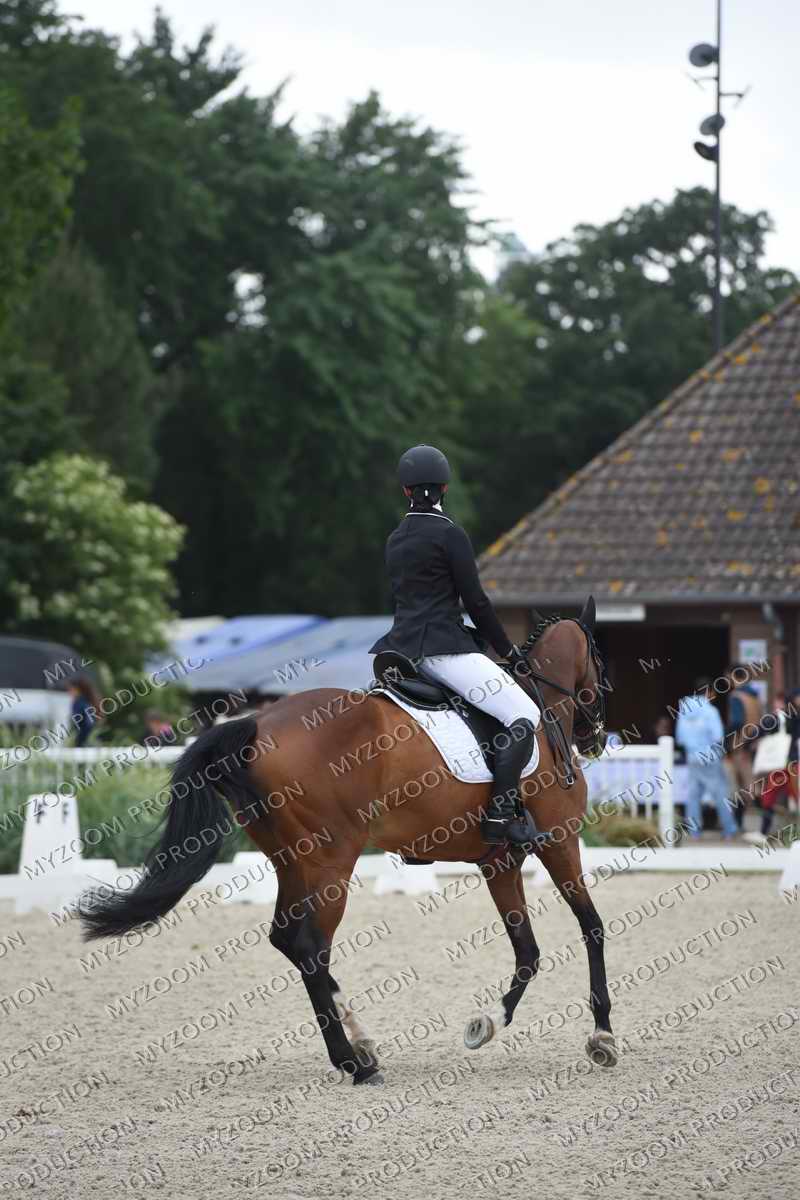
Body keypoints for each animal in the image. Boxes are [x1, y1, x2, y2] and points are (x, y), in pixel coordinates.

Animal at [78, 596, 616, 1085]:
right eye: (601, 658)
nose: (594, 739)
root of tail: (257, 721)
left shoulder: (499, 862)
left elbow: (528, 950)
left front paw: (486, 1023)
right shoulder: (559, 842)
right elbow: (591, 926)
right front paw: (602, 1036)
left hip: (293, 860)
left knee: (287, 939)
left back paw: (360, 1044)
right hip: (333, 859)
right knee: (311, 946)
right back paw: (356, 1063)